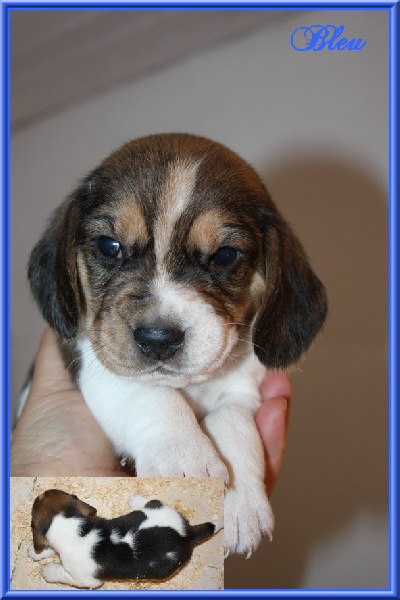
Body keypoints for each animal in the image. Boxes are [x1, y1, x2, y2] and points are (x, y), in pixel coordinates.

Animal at [21, 133, 327, 556]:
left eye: (224, 255)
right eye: (109, 246)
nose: (158, 339)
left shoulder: (244, 390)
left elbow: (231, 424)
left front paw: (240, 503)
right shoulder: (92, 362)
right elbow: (151, 395)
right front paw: (182, 456)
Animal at [29, 489, 222, 588]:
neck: (71, 526)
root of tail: (187, 534)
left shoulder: (86, 580)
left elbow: (61, 573)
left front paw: (48, 571)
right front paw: (36, 552)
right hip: (161, 509)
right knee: (152, 503)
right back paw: (138, 502)